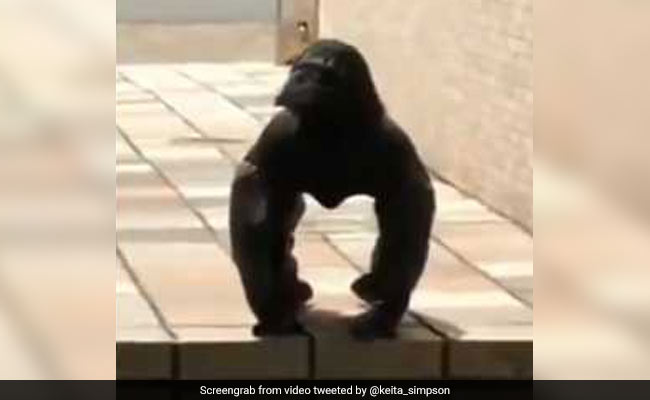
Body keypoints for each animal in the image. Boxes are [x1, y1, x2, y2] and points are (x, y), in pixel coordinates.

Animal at [229, 39, 435, 340]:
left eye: (317, 72)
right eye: (299, 69)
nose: (297, 79)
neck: (331, 125)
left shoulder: (394, 145)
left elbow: (407, 208)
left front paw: (383, 305)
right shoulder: (278, 134)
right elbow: (255, 185)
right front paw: (269, 303)